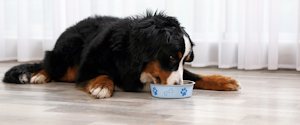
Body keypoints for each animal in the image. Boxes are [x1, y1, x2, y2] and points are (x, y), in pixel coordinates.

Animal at [2, 11, 241, 98]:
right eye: (172, 56)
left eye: (185, 59)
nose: (178, 87)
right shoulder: (87, 68)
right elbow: (103, 74)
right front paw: (102, 86)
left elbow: (198, 76)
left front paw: (223, 80)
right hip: (65, 54)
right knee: (49, 64)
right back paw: (39, 75)